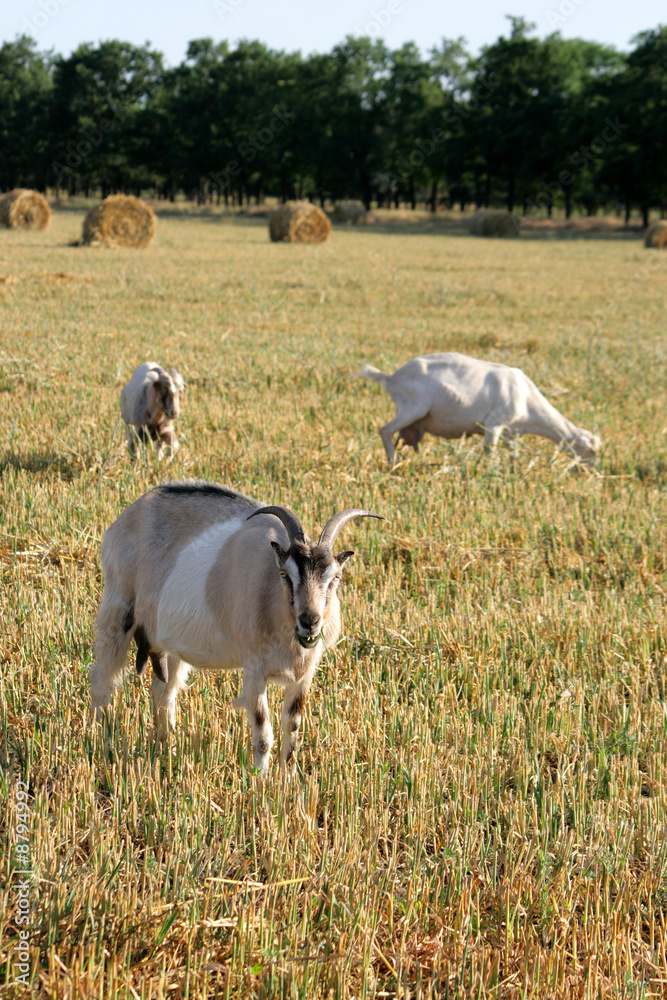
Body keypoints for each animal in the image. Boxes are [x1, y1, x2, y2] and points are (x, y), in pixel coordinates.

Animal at [90, 481, 383, 775]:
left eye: (335, 578)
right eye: (285, 575)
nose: (309, 622)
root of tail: (124, 520)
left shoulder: (304, 674)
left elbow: (292, 729)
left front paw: (286, 779)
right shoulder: (254, 669)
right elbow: (263, 734)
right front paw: (260, 780)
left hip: (170, 646)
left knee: (164, 692)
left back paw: (167, 750)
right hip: (118, 610)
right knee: (102, 681)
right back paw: (100, 743)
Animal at [359, 353, 602, 467]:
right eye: (590, 451)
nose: (589, 471)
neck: (527, 401)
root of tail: (391, 378)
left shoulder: (510, 431)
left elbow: (512, 453)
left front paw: (514, 468)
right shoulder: (493, 424)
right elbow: (489, 453)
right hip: (413, 408)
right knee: (385, 430)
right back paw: (392, 462)